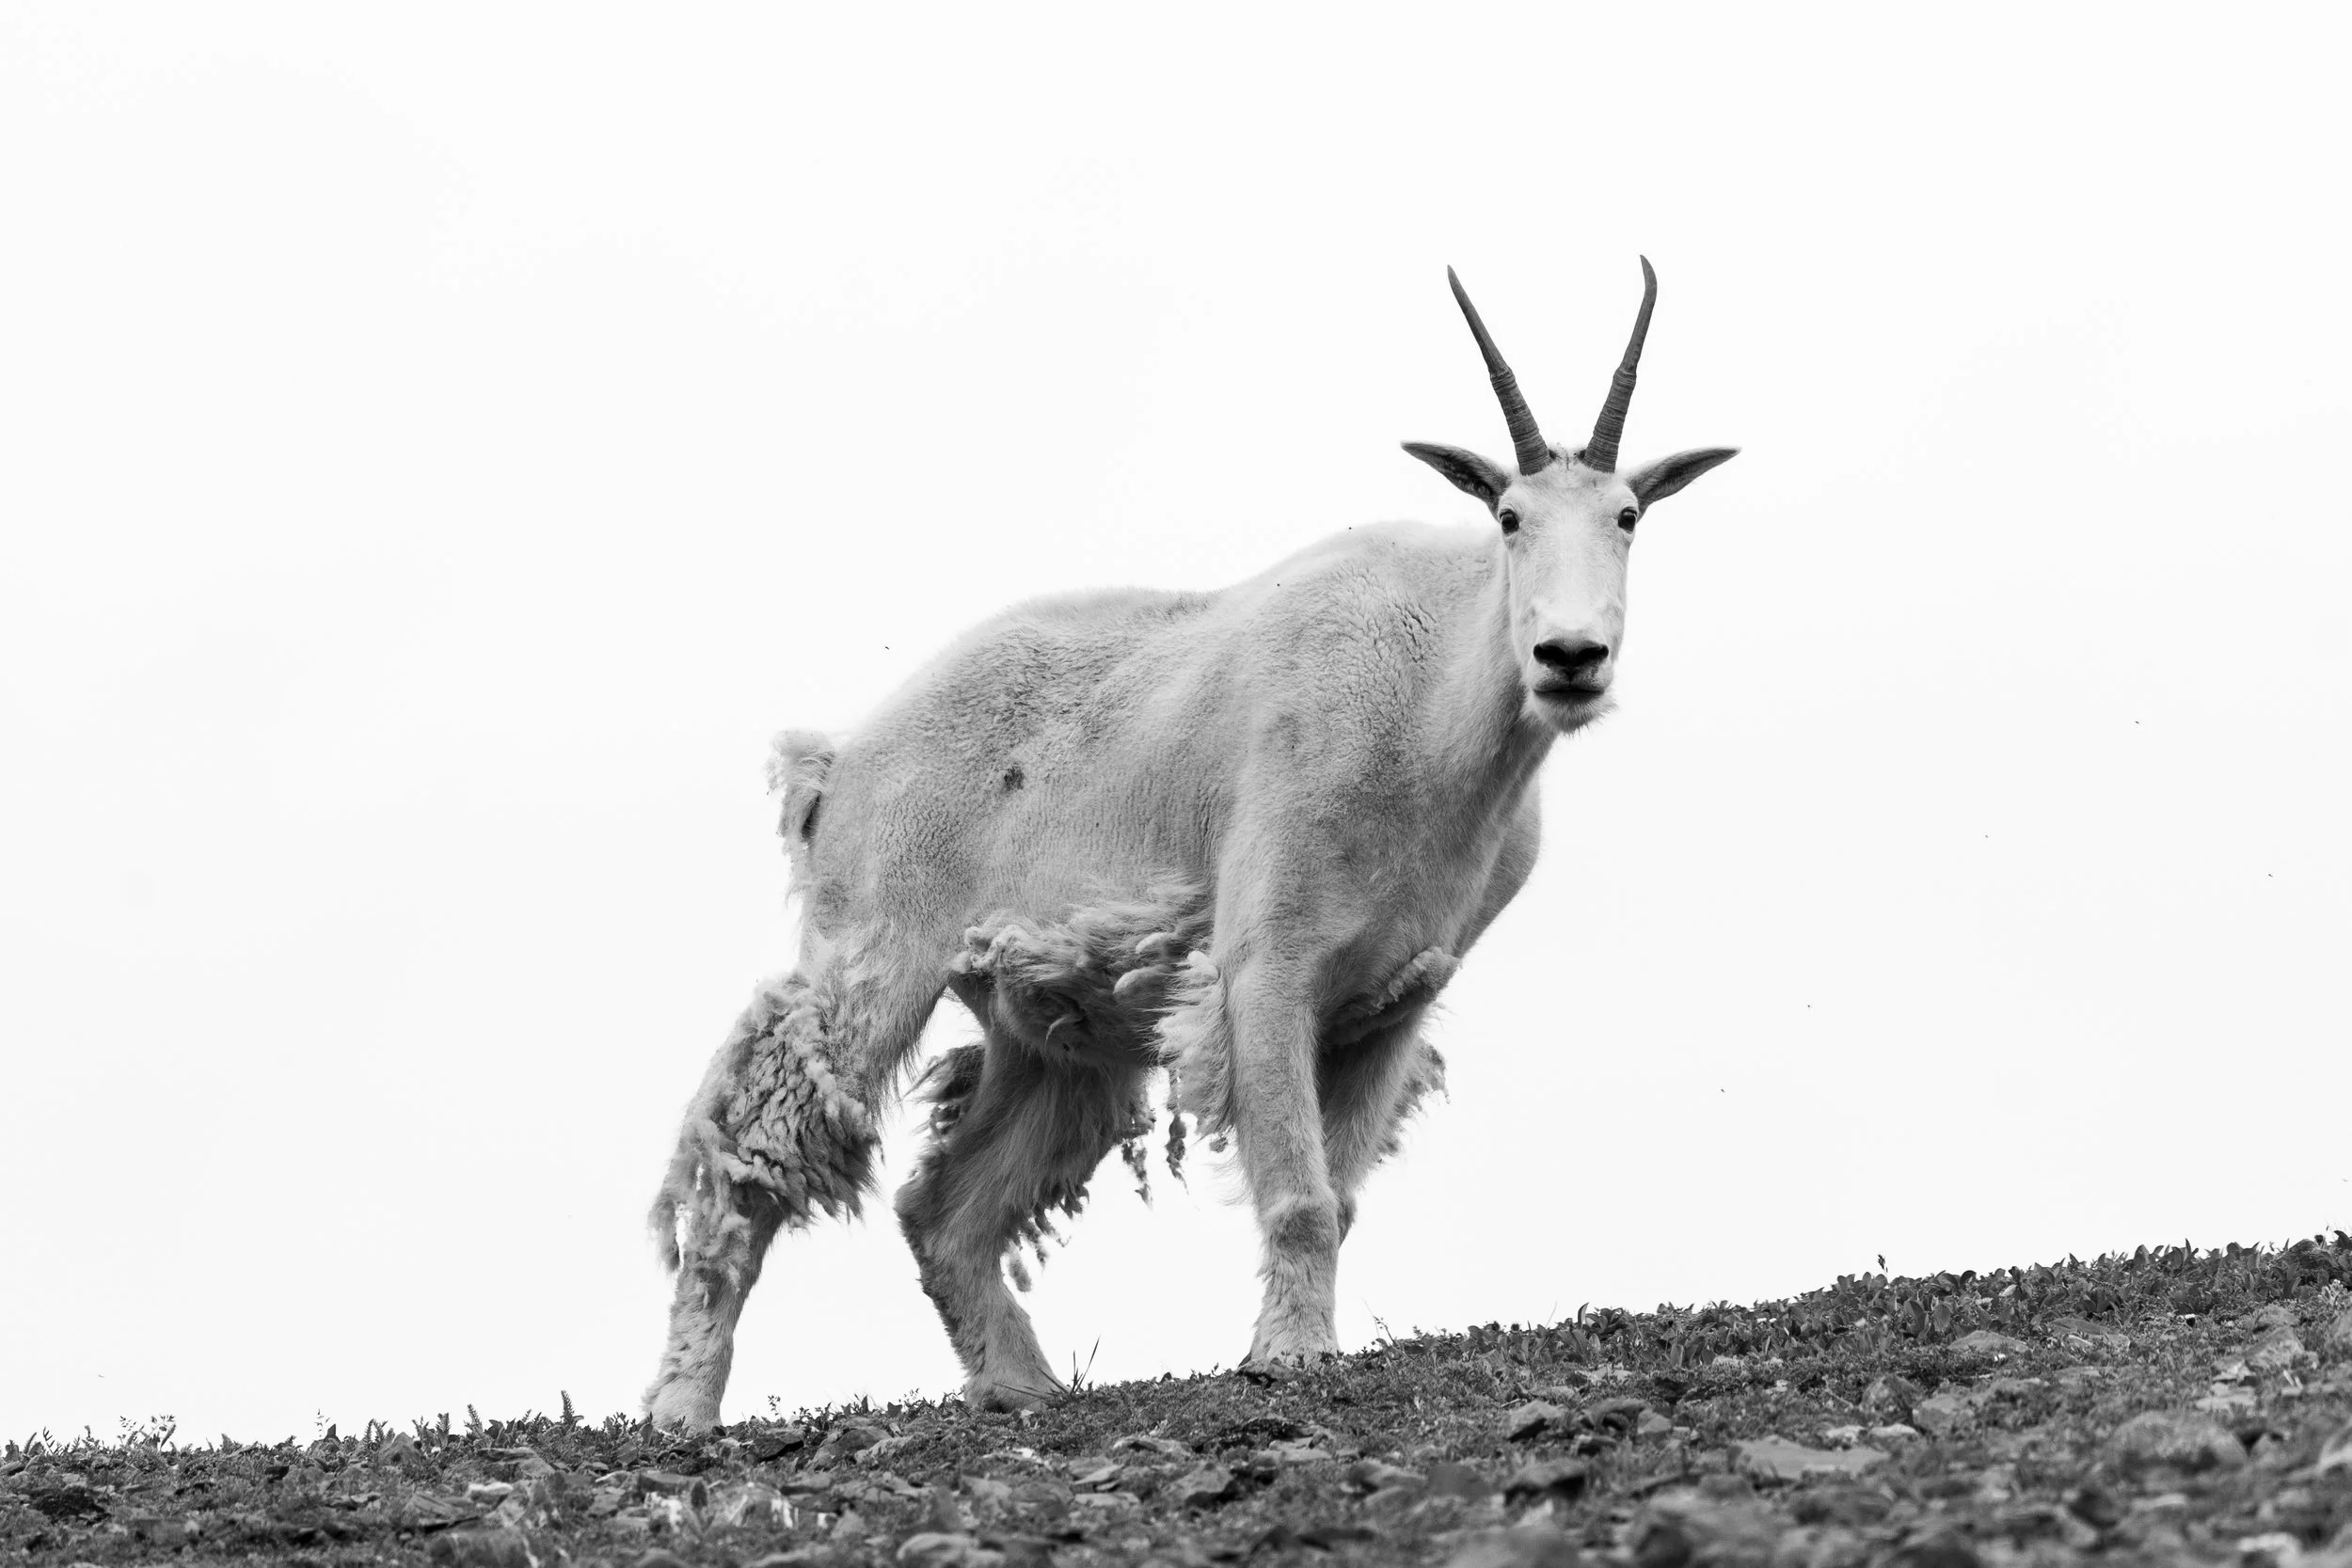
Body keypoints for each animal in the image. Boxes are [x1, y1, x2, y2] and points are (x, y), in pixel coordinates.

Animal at [644, 261, 1737, 1428]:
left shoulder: (1394, 998)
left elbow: (1340, 1195)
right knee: (751, 1159)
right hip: (874, 955)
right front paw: (1287, 1354)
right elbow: (1300, 1194)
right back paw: (681, 1404)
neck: (1434, 706)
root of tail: (838, 764)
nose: (1569, 656)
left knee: (942, 1205)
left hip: (1053, 1030)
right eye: (1509, 514)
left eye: (1628, 514)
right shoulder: (1267, 969)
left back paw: (1021, 1383)